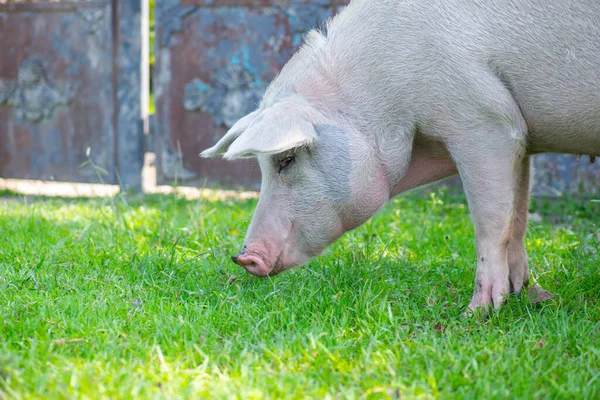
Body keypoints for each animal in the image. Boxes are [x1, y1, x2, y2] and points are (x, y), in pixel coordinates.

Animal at [203, 0, 600, 312]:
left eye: (286, 160)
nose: (243, 257)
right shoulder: (522, 140)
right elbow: (517, 217)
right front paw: (528, 296)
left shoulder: (486, 122)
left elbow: (491, 221)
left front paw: (477, 312)